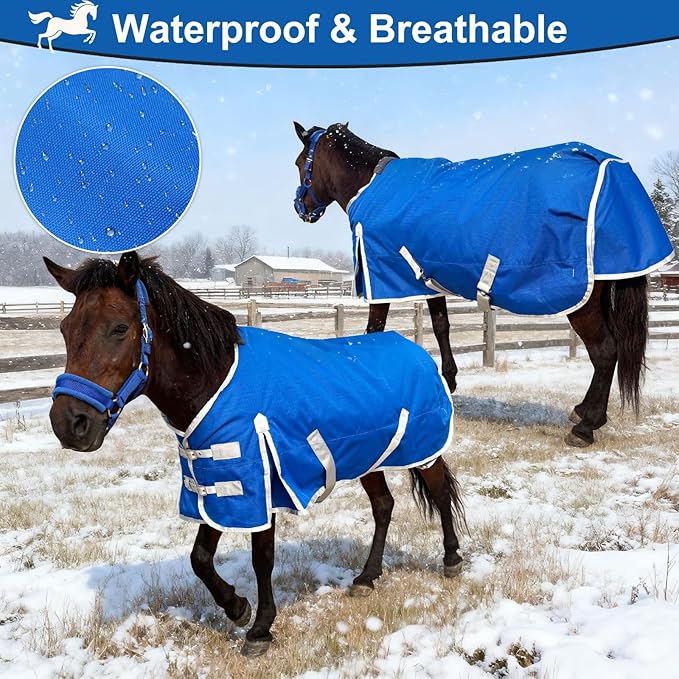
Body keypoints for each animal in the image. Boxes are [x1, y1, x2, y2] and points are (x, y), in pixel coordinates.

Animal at [44, 251, 465, 657]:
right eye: (65, 329)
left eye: (120, 328)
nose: (70, 423)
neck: (215, 379)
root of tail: (419, 352)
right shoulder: (218, 480)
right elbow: (199, 557)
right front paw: (236, 607)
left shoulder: (259, 483)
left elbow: (262, 558)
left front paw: (260, 628)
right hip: (366, 458)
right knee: (383, 506)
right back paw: (367, 577)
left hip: (423, 452)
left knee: (440, 493)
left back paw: (451, 560)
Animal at [292, 122, 663, 448]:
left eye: (299, 163)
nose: (301, 208)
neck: (370, 184)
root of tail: (609, 168)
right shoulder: (427, 276)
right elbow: (441, 325)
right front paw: (449, 379)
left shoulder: (382, 273)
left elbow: (375, 331)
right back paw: (583, 412)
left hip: (583, 303)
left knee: (604, 351)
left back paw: (585, 427)